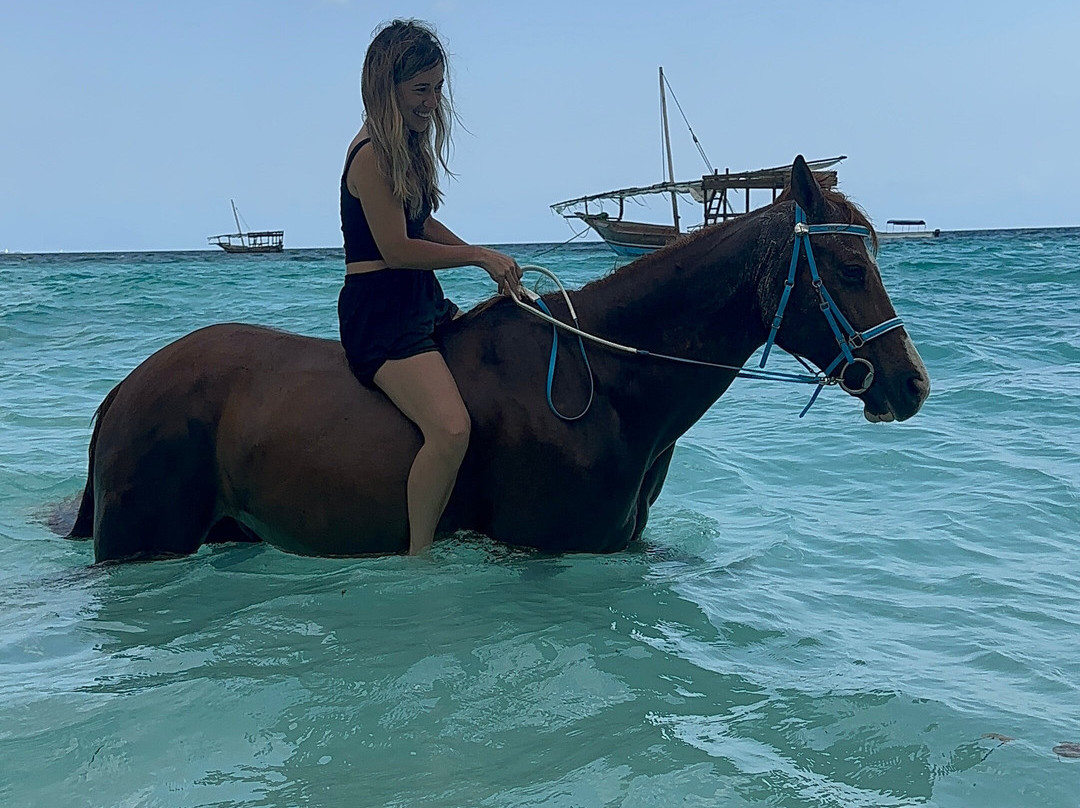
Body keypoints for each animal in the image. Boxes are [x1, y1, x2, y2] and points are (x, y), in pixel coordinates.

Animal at [66, 157, 929, 563]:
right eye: (849, 268)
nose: (911, 382)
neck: (608, 384)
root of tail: (123, 390)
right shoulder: (546, 550)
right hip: (141, 544)